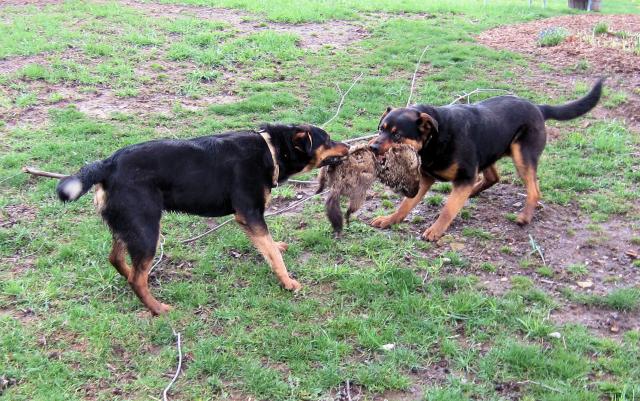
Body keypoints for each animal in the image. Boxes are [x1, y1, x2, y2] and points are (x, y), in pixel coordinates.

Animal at [58, 123, 350, 314]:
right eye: (328, 139)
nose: (349, 146)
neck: (271, 149)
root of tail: (107, 165)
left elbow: (269, 247)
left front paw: (276, 248)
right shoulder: (250, 214)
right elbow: (273, 255)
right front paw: (288, 282)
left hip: (129, 225)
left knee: (118, 260)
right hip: (147, 229)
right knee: (136, 279)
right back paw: (158, 308)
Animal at [368, 79, 604, 239]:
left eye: (397, 135)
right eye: (381, 129)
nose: (372, 147)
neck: (434, 138)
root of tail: (538, 107)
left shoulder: (464, 176)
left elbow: (448, 210)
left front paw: (436, 230)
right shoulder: (426, 178)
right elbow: (405, 205)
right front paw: (390, 220)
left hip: (522, 156)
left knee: (534, 190)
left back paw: (525, 216)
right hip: (488, 151)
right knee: (492, 177)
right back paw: (473, 193)